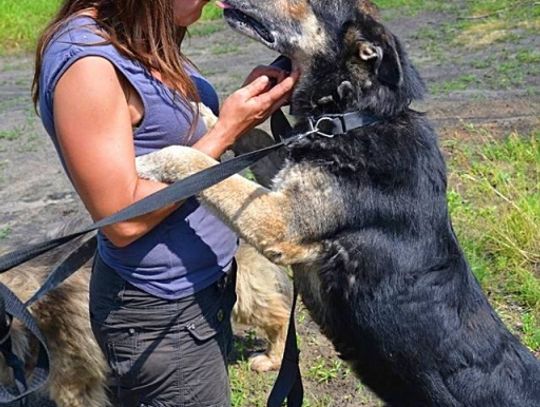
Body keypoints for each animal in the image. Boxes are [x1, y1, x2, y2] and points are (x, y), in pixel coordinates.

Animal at [136, 0, 540, 407]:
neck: (353, 118)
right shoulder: (282, 179)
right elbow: (242, 140)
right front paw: (203, 110)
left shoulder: (279, 221)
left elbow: (193, 160)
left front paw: (148, 163)